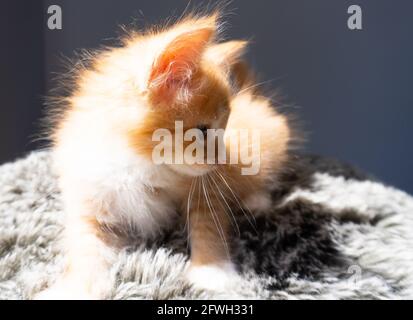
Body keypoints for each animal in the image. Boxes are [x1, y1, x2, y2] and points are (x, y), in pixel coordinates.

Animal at [37, 11, 292, 298]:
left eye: (224, 128)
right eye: (203, 131)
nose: (221, 160)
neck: (138, 163)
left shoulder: (208, 186)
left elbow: (208, 224)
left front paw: (212, 273)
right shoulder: (88, 196)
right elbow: (86, 248)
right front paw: (77, 287)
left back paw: (256, 200)